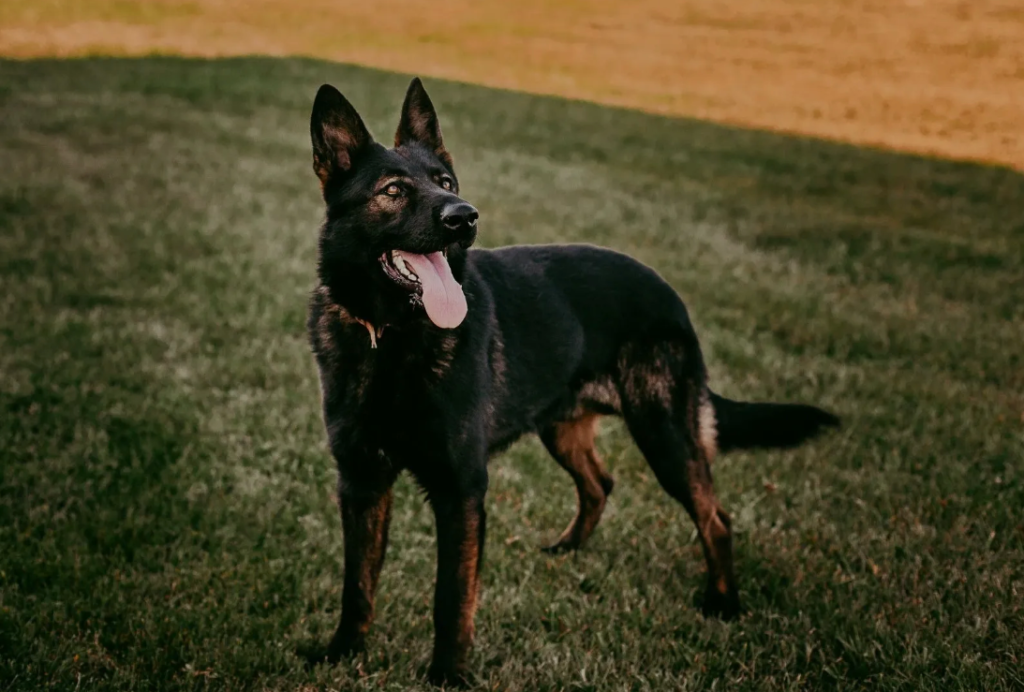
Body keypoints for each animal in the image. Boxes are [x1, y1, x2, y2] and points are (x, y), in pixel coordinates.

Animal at [305, 78, 839, 683]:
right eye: (393, 190)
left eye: (446, 184)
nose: (466, 216)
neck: (391, 335)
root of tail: (668, 293)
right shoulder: (361, 484)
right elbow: (357, 584)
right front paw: (343, 652)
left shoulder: (460, 489)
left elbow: (451, 597)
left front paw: (447, 676)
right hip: (563, 431)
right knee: (599, 484)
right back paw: (569, 549)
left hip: (664, 436)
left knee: (715, 516)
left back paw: (723, 602)